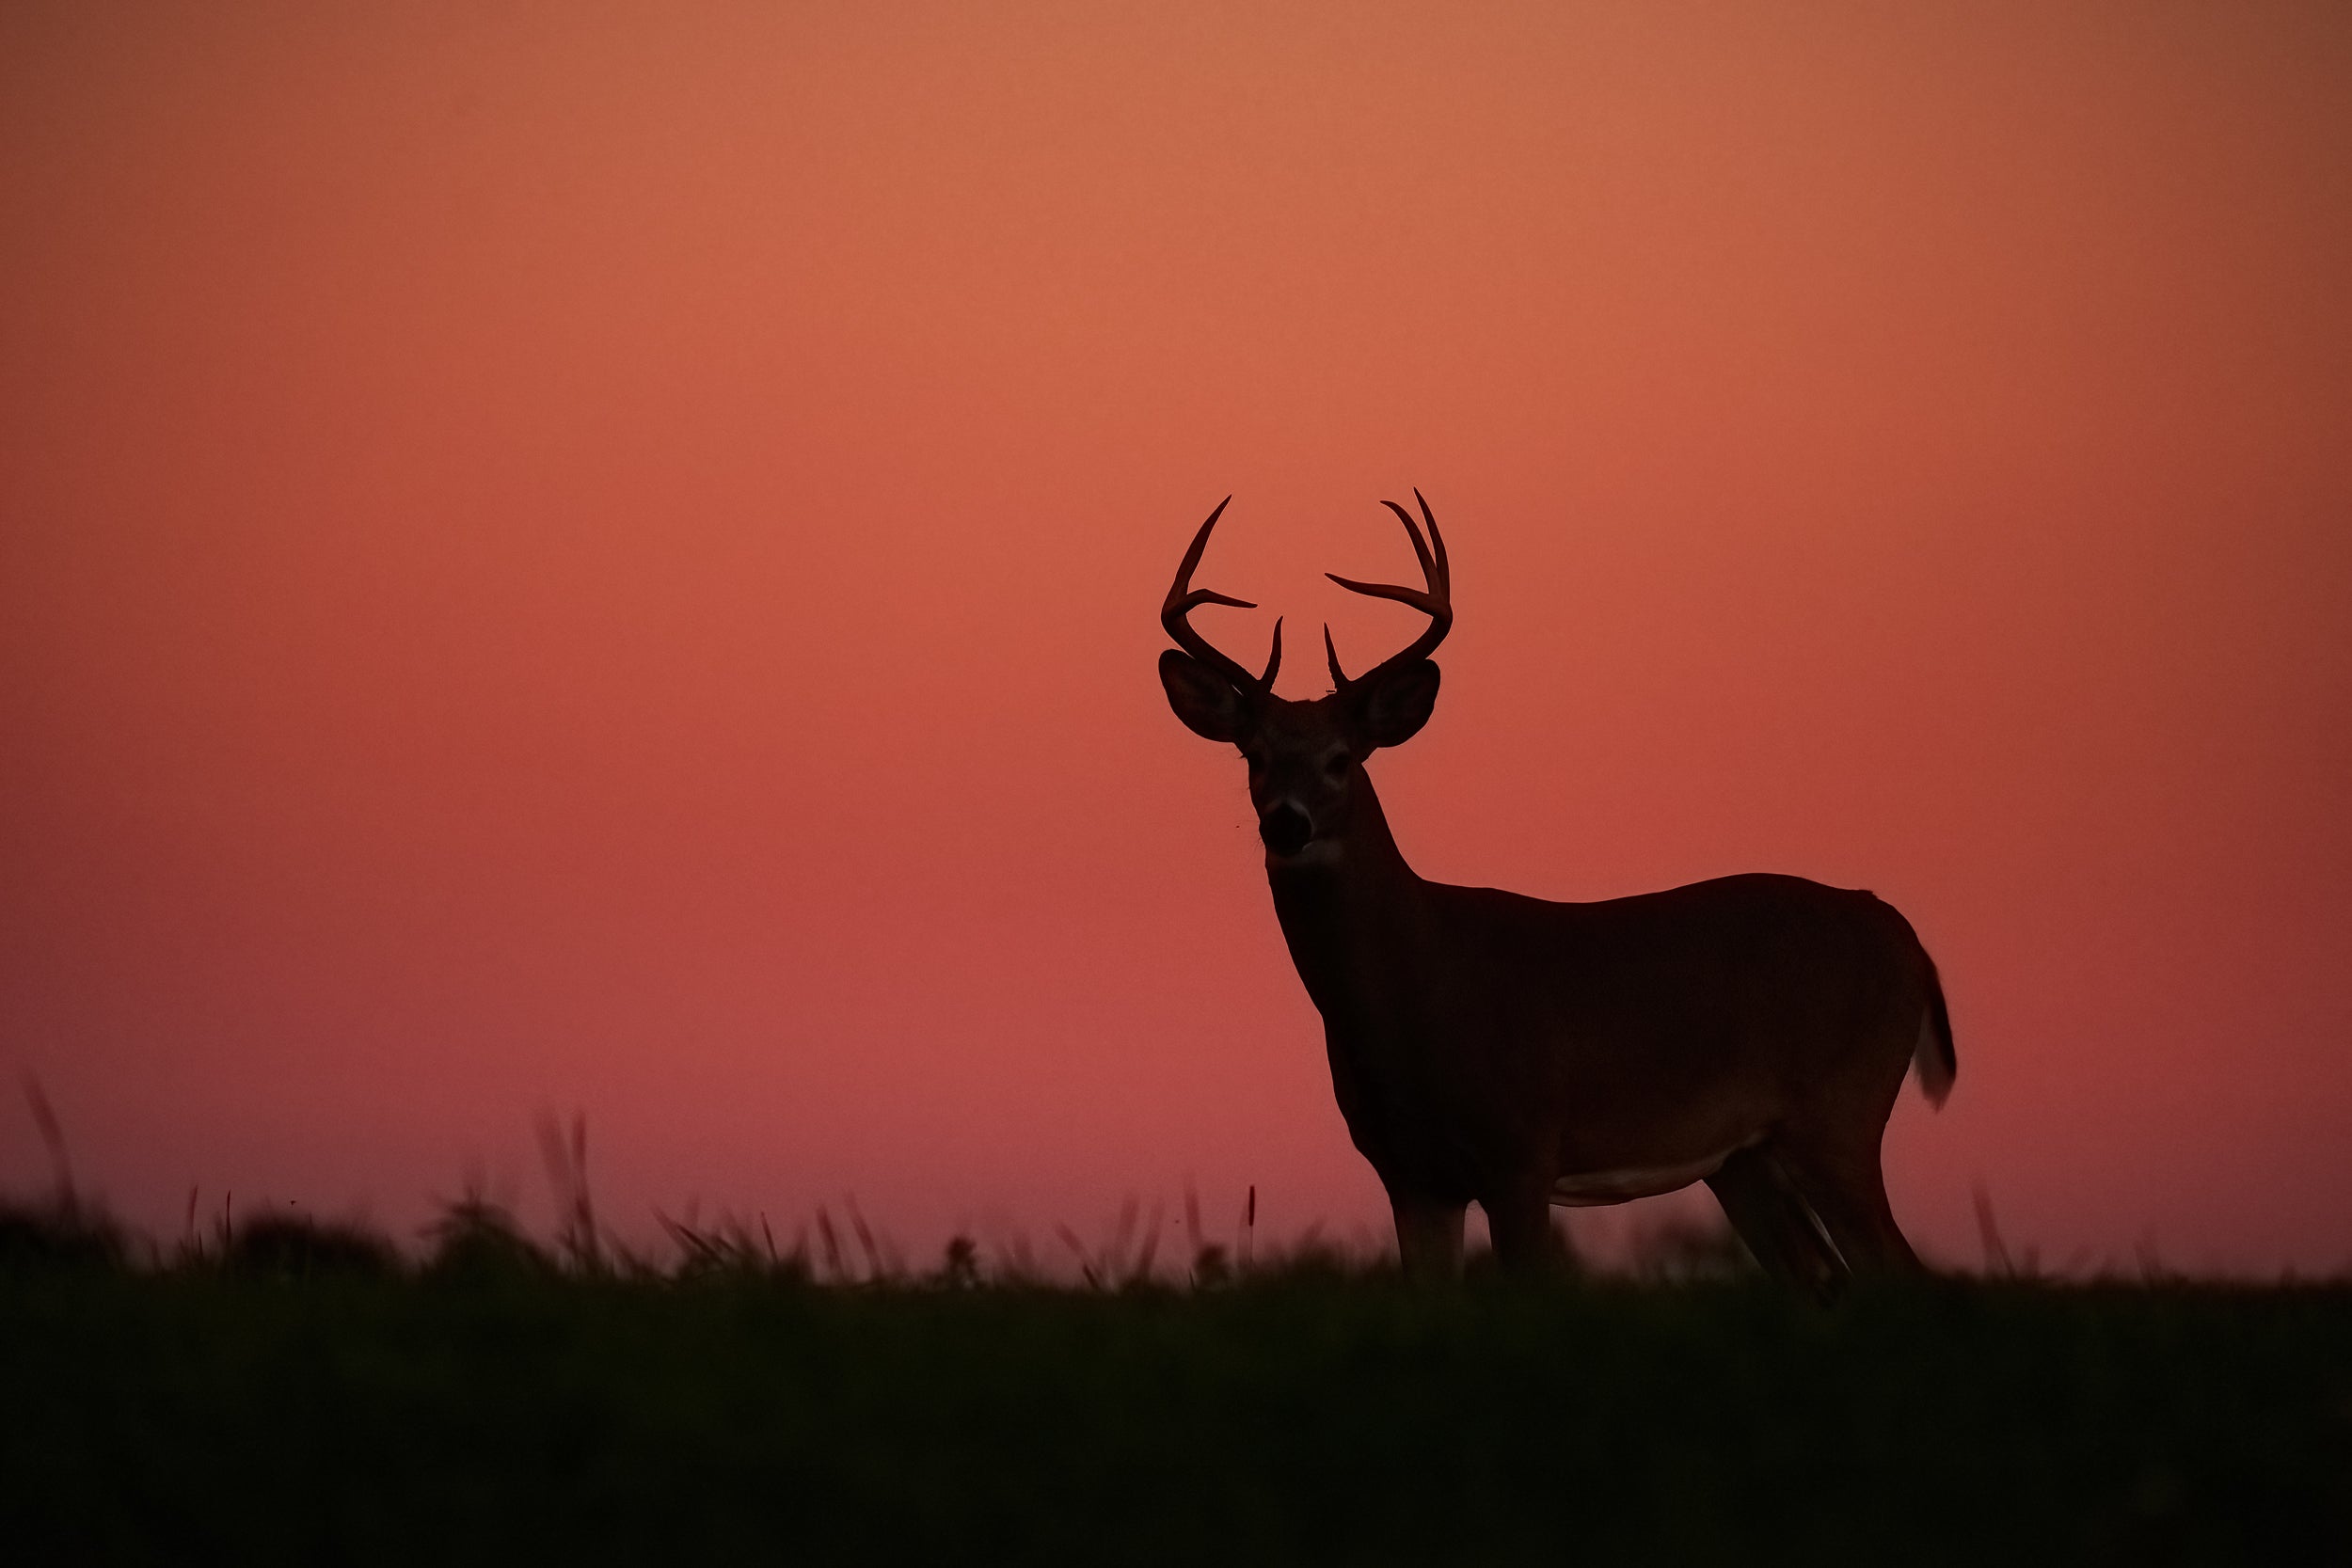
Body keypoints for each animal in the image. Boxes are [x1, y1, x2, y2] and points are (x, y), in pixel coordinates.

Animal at [1157, 493, 1956, 1295]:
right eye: (1254, 757)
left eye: (1341, 759)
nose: (1285, 822)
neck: (1419, 984)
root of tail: (1901, 930)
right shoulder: (1409, 1174)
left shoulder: (1521, 1150)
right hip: (1745, 1160)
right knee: (1822, 1279)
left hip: (1840, 1114)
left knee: (1901, 1271)